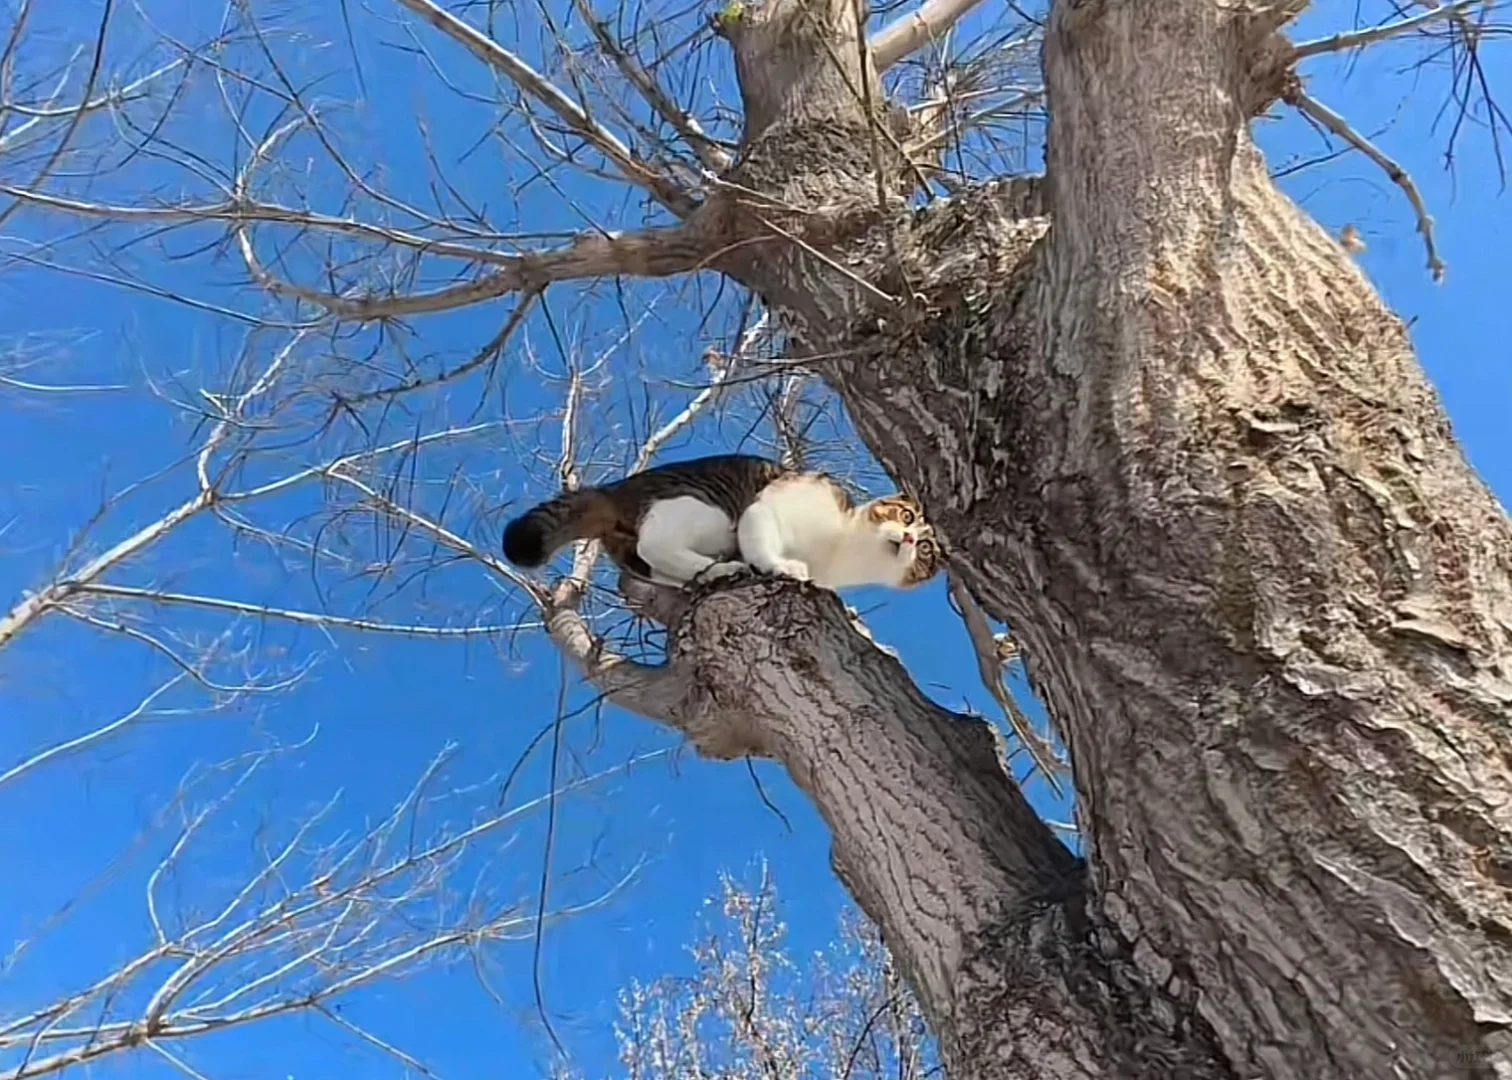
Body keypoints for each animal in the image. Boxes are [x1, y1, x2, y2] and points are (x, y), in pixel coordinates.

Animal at [501, 450, 937, 592]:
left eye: (928, 549)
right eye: (907, 515)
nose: (910, 538)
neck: (846, 550)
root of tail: (614, 489)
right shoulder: (765, 508)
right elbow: (765, 543)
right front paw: (783, 567)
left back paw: (714, 571)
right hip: (706, 511)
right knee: (655, 544)